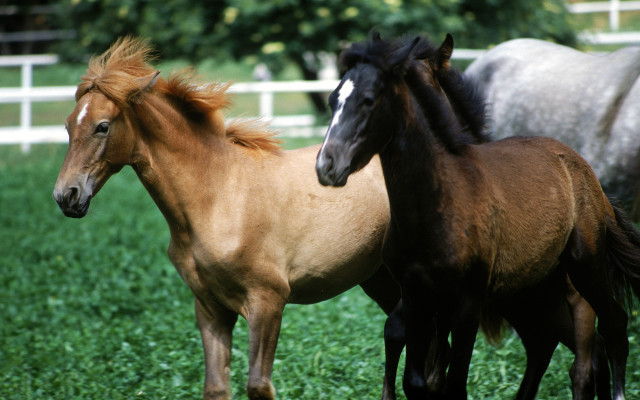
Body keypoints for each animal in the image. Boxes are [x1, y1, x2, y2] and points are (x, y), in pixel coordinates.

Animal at [51, 36, 404, 400]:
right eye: (67, 125)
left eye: (103, 126)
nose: (67, 195)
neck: (220, 196)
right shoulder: (211, 308)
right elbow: (216, 387)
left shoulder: (267, 302)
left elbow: (259, 385)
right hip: (377, 278)